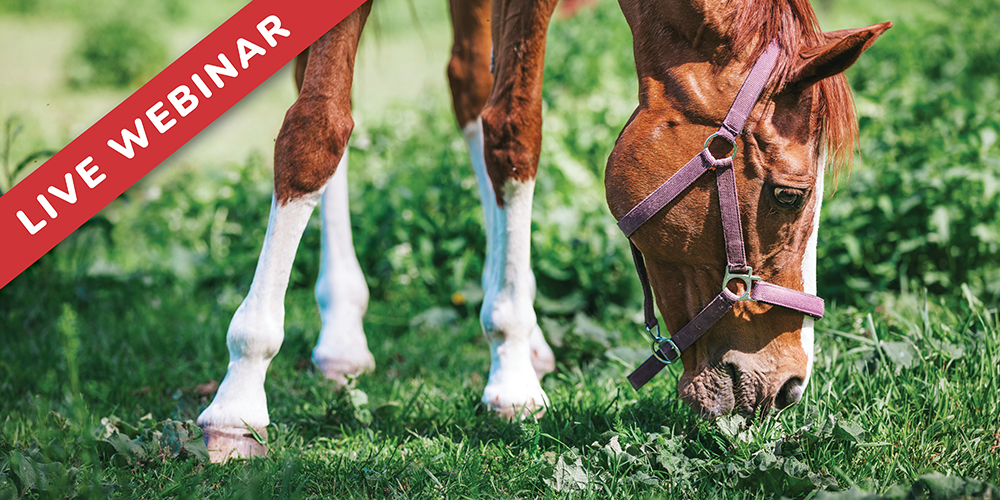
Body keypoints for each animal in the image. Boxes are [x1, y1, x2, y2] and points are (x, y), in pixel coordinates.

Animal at [194, 0, 890, 462]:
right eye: (789, 194)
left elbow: (512, 130)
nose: (791, 383)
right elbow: (316, 130)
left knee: (471, 85)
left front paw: (510, 366)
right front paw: (237, 403)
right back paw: (341, 328)